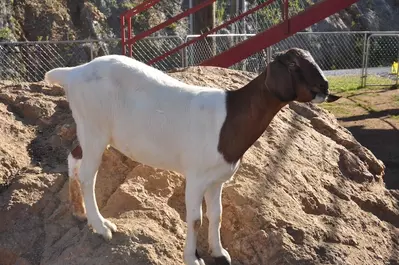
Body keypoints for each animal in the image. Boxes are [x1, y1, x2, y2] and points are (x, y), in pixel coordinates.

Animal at [43, 48, 338, 264]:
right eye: (293, 65)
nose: (325, 86)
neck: (230, 116)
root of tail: (73, 74)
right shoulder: (196, 176)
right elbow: (195, 219)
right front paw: (192, 258)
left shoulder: (217, 180)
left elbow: (217, 214)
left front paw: (220, 252)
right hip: (95, 128)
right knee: (88, 175)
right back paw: (102, 226)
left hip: (87, 129)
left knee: (74, 157)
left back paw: (78, 213)